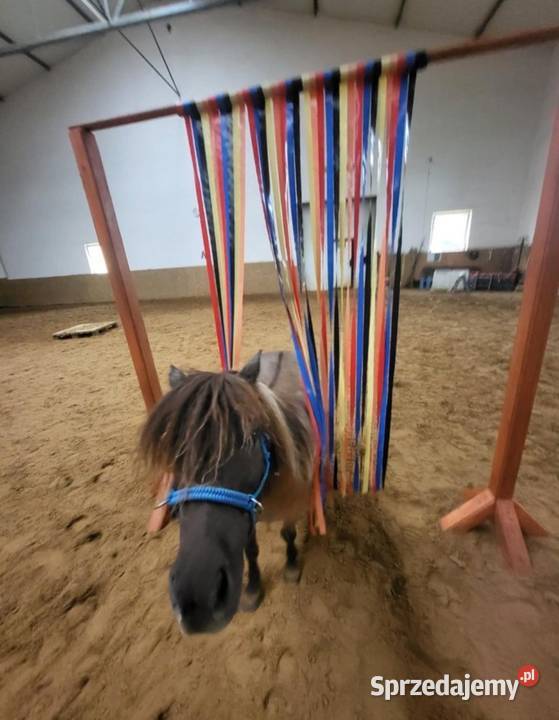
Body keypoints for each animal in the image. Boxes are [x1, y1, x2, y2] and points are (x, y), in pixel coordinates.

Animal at [139, 350, 315, 634]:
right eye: (175, 450)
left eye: (252, 439)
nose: (197, 600)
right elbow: (250, 549)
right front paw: (253, 589)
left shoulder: (290, 501)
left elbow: (288, 534)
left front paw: (291, 566)